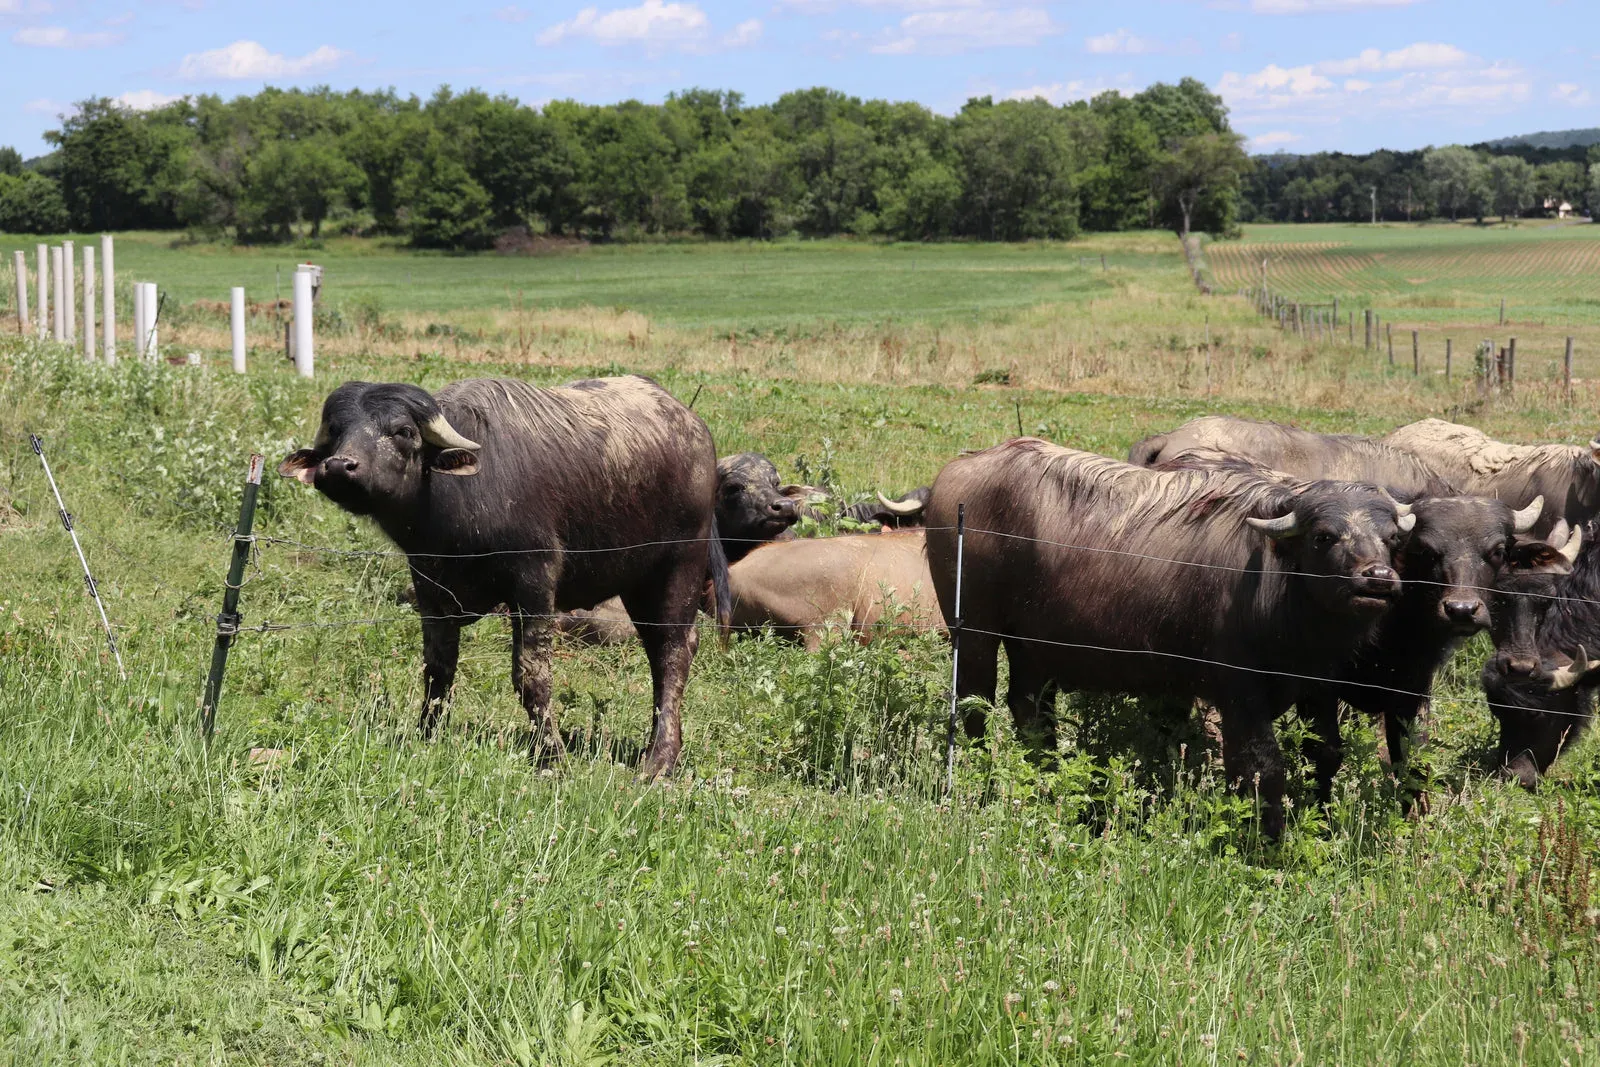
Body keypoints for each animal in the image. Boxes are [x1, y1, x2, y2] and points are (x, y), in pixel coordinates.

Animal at [279, 375, 727, 778]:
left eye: (403, 431)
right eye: (337, 432)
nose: (339, 467)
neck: (450, 511)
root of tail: (696, 430)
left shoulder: (534, 582)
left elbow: (531, 675)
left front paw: (552, 757)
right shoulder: (429, 587)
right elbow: (438, 667)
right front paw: (427, 734)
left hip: (680, 566)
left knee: (673, 652)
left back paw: (659, 760)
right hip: (636, 583)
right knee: (658, 650)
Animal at [926, 438, 1413, 839]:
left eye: (1391, 539)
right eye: (1324, 536)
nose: (1377, 578)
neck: (1276, 583)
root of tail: (958, 470)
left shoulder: (1318, 686)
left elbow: (1325, 753)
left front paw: (1322, 823)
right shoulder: (1240, 694)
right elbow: (1260, 768)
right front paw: (1266, 842)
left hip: (1034, 646)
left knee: (1030, 710)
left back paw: (1045, 778)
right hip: (973, 631)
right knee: (974, 704)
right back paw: (981, 782)